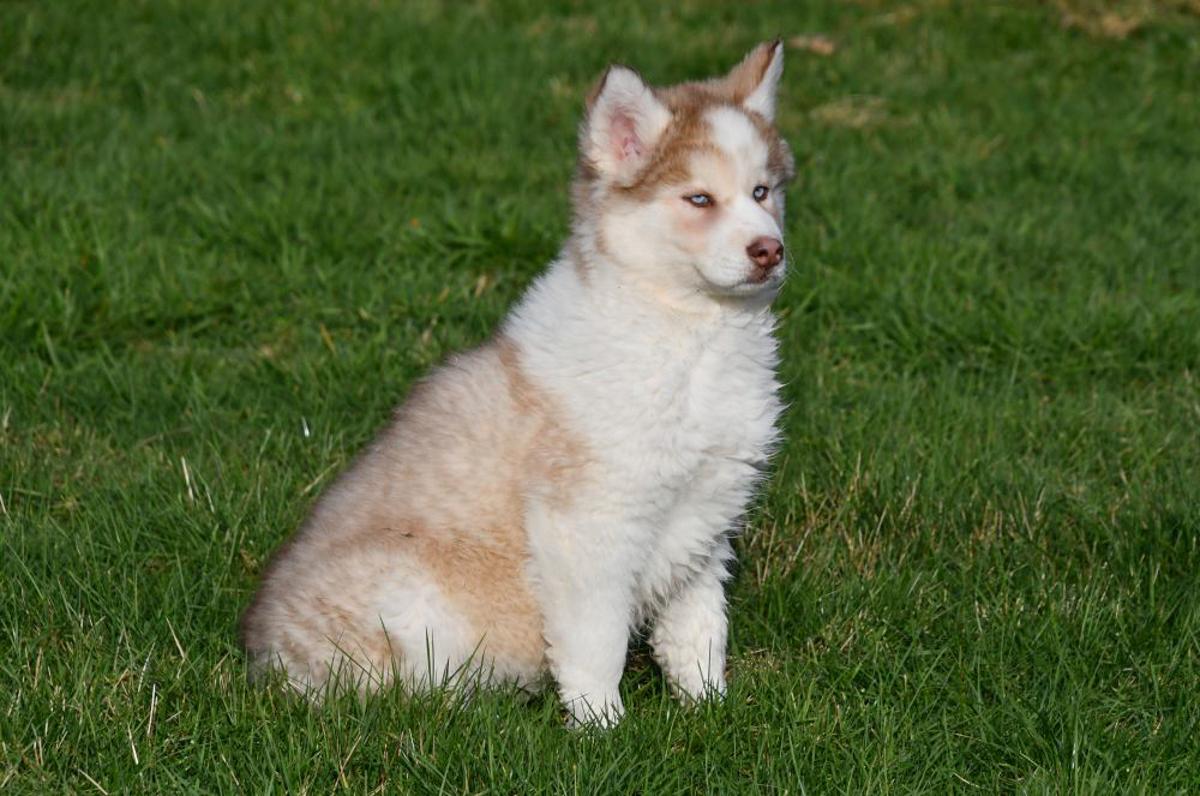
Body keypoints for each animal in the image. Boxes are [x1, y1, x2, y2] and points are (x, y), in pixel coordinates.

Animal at [238, 42, 792, 729]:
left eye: (761, 191)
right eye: (699, 200)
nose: (769, 250)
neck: (694, 336)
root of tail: (261, 660)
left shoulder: (705, 520)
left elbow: (698, 631)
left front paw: (709, 710)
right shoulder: (588, 526)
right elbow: (597, 641)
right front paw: (601, 727)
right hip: (409, 596)